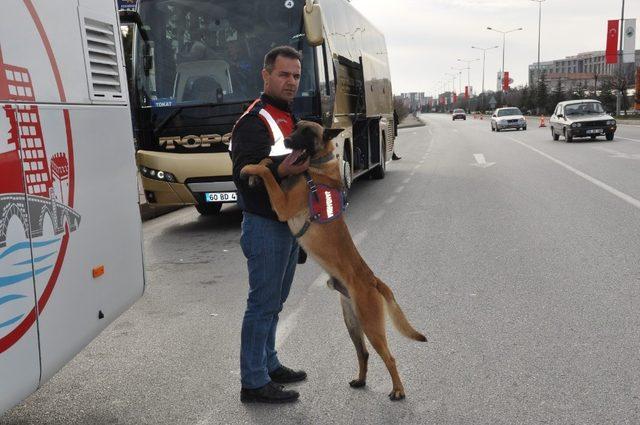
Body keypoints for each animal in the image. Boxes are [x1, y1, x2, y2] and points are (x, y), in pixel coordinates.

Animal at [240, 120, 424, 400]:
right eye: (295, 127)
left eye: (306, 132)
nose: (287, 141)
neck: (313, 168)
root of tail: (373, 279)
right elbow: (267, 164)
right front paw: (259, 166)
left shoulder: (282, 205)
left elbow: (268, 174)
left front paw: (252, 169)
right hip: (352, 322)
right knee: (364, 353)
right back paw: (361, 380)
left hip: (371, 325)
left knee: (389, 358)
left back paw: (398, 390)